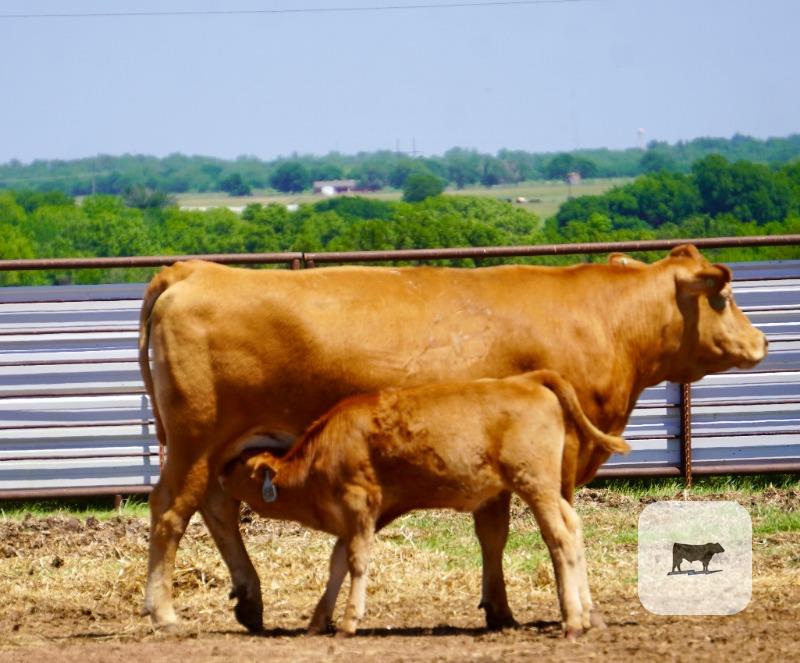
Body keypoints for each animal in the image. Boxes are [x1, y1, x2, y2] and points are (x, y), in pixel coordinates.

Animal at [219, 370, 631, 638]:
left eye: (240, 465)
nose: (220, 469)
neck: (322, 452)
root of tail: (525, 380)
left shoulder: (360, 504)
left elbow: (356, 562)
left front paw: (350, 621)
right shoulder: (356, 518)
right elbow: (336, 563)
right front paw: (318, 621)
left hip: (535, 484)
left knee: (559, 538)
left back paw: (573, 621)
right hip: (549, 489)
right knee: (573, 530)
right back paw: (585, 613)